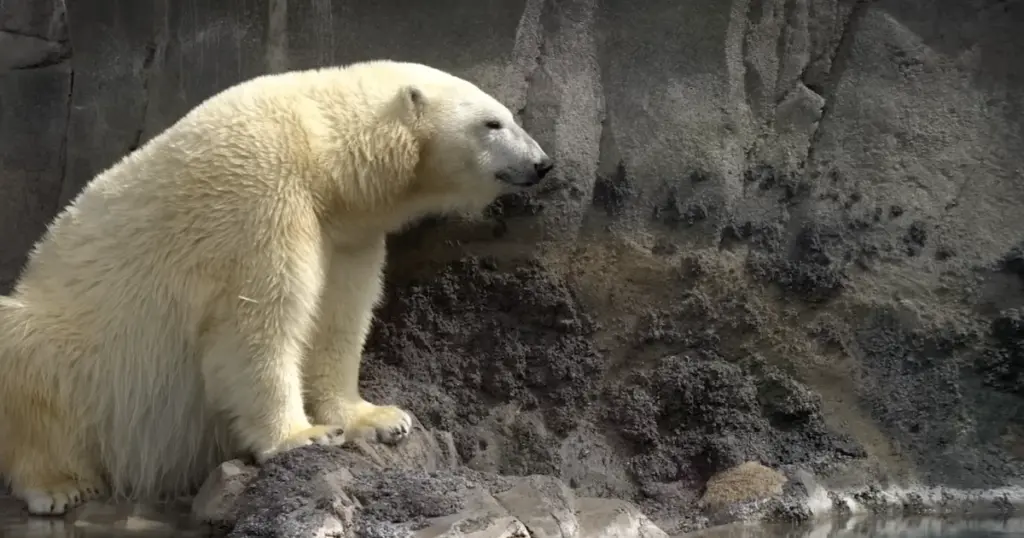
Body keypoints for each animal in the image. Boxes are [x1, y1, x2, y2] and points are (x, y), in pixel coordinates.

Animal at [0, 59, 553, 516]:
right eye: (492, 122)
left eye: (510, 116)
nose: (543, 163)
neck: (322, 155)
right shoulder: (260, 198)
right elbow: (258, 321)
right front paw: (304, 435)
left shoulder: (348, 233)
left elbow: (341, 316)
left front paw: (380, 417)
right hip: (67, 344)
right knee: (30, 365)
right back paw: (58, 485)